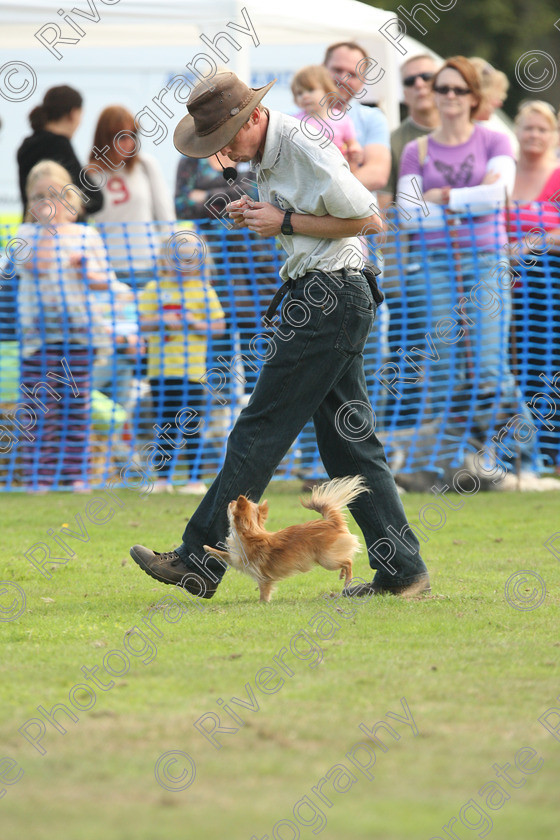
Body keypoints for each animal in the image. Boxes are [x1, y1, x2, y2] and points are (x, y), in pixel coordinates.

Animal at [203, 476, 370, 600]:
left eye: (233, 506)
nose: (231, 500)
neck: (250, 534)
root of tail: (331, 521)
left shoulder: (262, 576)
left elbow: (264, 591)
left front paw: (262, 603)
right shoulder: (237, 559)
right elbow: (223, 554)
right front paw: (207, 548)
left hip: (327, 560)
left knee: (348, 561)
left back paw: (348, 579)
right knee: (345, 560)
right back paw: (342, 574)